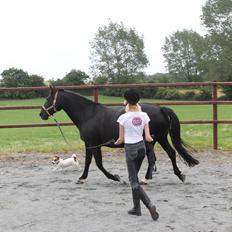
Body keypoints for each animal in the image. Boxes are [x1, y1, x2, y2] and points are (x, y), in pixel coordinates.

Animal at [40, 86, 199, 184]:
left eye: (48, 98)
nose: (41, 114)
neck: (89, 114)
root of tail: (160, 108)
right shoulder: (89, 143)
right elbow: (89, 162)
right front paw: (83, 178)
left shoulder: (94, 143)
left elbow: (98, 163)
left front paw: (116, 178)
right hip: (153, 140)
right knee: (155, 157)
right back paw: (147, 178)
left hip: (159, 138)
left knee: (169, 154)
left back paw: (177, 176)